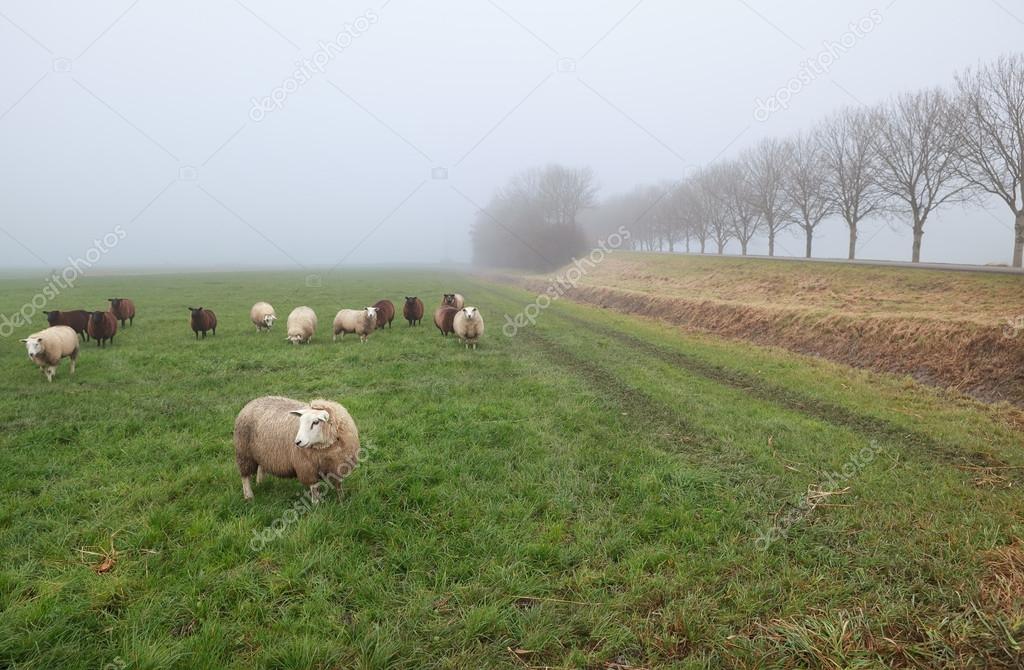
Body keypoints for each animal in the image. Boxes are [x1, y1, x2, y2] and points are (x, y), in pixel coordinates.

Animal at [234, 395, 362, 501]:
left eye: (316, 422)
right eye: (300, 421)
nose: (297, 442)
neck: (325, 448)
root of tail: (251, 402)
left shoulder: (338, 465)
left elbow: (338, 484)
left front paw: (342, 499)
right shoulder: (307, 467)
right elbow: (314, 488)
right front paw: (317, 505)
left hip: (261, 451)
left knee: (261, 466)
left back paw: (260, 483)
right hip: (243, 452)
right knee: (245, 477)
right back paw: (249, 496)